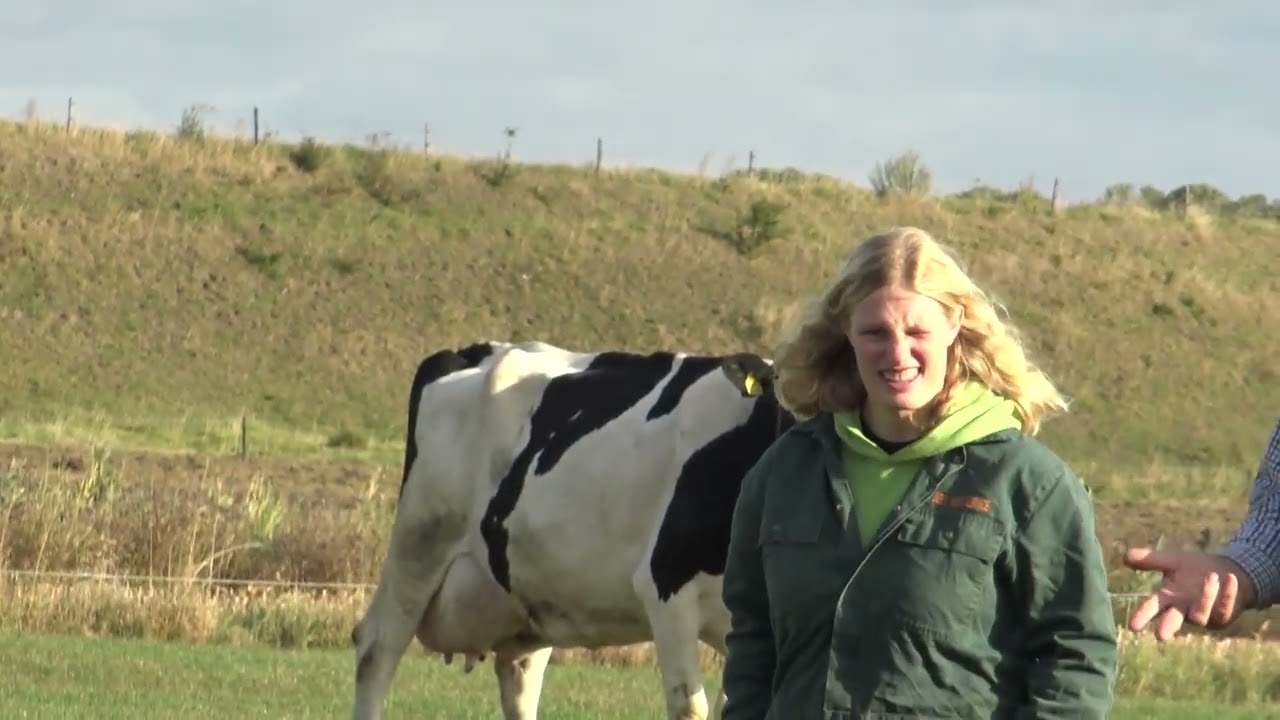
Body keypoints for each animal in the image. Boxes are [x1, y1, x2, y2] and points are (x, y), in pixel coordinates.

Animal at [350, 339, 796, 720]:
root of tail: (469, 351)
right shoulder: (665, 585)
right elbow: (690, 706)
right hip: (418, 544)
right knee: (376, 651)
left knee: (519, 677)